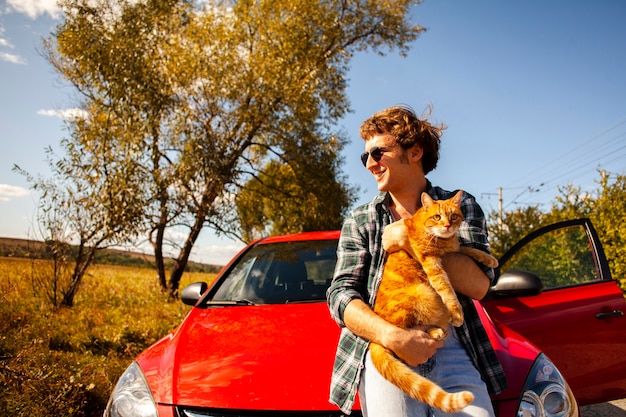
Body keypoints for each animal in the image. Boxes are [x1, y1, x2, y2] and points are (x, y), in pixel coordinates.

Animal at [368, 189, 494, 412]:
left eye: (454, 216)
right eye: (437, 216)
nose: (447, 226)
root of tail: (376, 338)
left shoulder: (454, 250)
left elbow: (469, 249)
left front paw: (489, 259)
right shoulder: (432, 264)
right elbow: (447, 290)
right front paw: (457, 313)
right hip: (422, 292)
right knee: (409, 331)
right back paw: (435, 331)